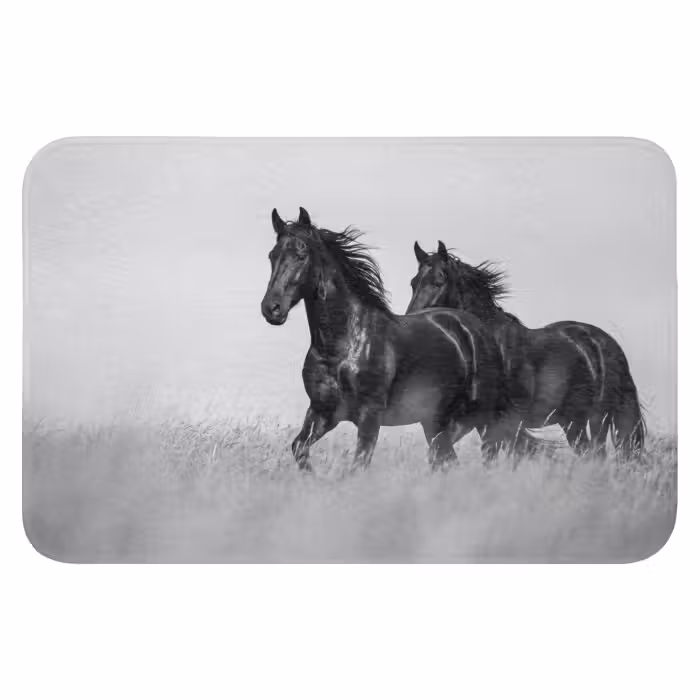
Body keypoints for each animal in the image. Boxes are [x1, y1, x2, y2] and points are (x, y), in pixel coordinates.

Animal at [260, 208, 510, 472]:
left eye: (301, 254)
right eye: (272, 255)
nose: (271, 308)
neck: (342, 347)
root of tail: (475, 327)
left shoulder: (370, 416)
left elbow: (358, 466)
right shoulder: (322, 411)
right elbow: (299, 447)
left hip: (482, 417)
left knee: (487, 455)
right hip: (436, 421)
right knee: (445, 459)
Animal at [406, 240, 646, 459]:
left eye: (439, 281)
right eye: (413, 283)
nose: (413, 322)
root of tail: (605, 343)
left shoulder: (497, 421)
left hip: (598, 418)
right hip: (572, 421)